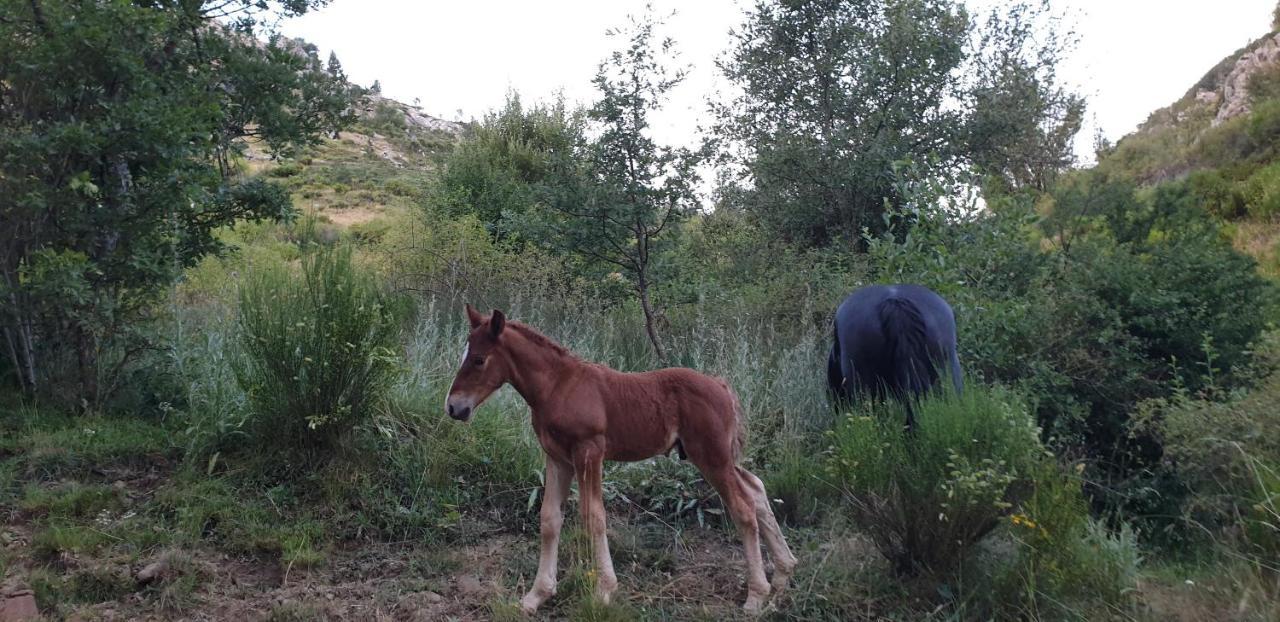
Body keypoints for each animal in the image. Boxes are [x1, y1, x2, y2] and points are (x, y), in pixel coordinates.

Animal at [445, 303, 793, 614]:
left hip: (711, 457)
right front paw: (536, 596)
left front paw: (604, 591)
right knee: (756, 489)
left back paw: (757, 595)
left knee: (743, 507)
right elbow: (549, 519)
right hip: (720, 457)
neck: (558, 386)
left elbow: (594, 517)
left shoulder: (589, 453)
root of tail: (721, 386)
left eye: (478, 359)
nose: (454, 407)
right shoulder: (558, 459)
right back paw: (782, 576)